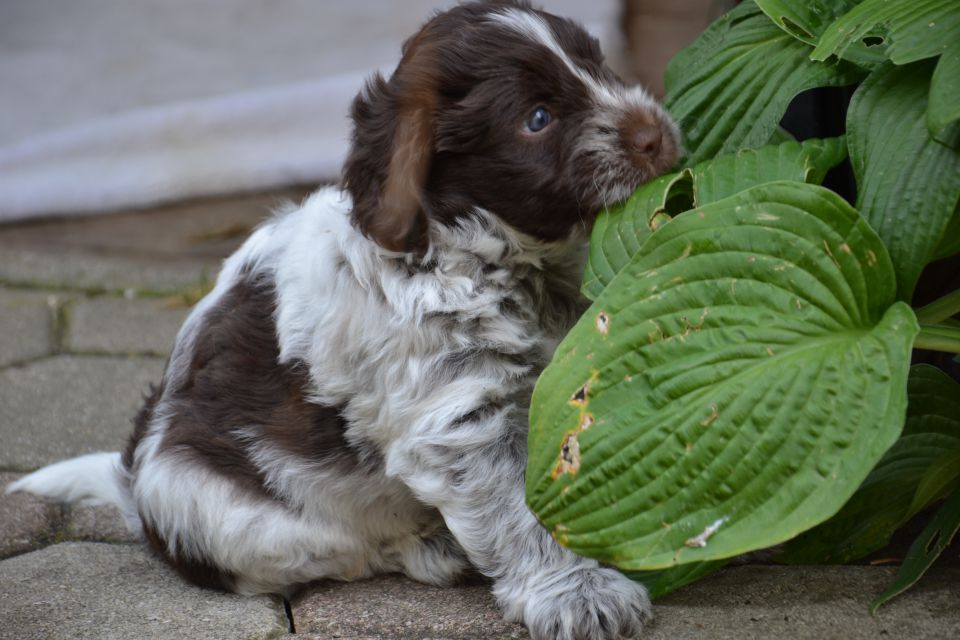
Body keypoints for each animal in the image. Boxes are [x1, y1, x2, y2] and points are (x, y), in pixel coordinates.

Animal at [11, 2, 680, 636]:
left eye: (598, 65)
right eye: (537, 119)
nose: (657, 135)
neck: (486, 258)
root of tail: (130, 481)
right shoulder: (462, 418)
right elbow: (522, 509)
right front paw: (577, 592)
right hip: (216, 510)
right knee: (351, 553)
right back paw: (435, 547)